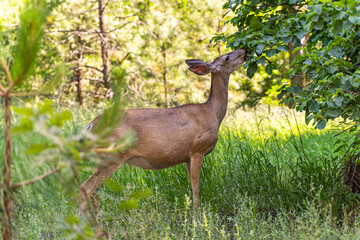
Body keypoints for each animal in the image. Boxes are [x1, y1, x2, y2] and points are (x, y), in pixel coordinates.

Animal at [79, 48, 248, 218]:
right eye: (227, 57)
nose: (245, 50)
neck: (213, 113)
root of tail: (91, 125)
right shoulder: (197, 149)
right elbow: (196, 186)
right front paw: (198, 217)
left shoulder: (187, 156)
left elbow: (192, 184)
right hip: (112, 155)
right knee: (86, 187)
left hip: (103, 157)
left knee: (96, 189)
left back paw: (99, 218)